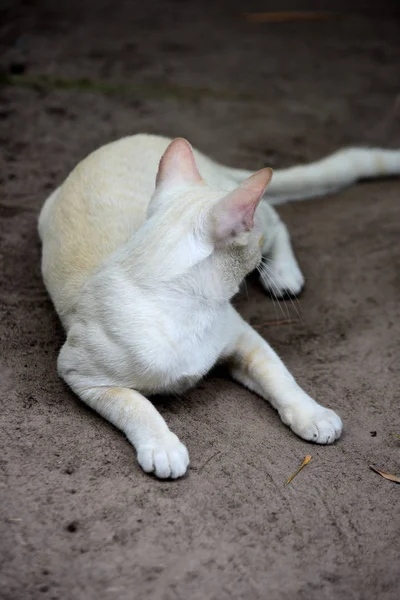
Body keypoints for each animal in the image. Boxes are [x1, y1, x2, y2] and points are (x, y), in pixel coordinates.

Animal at [39, 135, 400, 478]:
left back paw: (284, 275)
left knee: (277, 219)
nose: (256, 237)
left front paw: (313, 415)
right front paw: (163, 448)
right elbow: (138, 407)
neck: (187, 312)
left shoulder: (245, 339)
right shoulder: (83, 375)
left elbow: (281, 377)